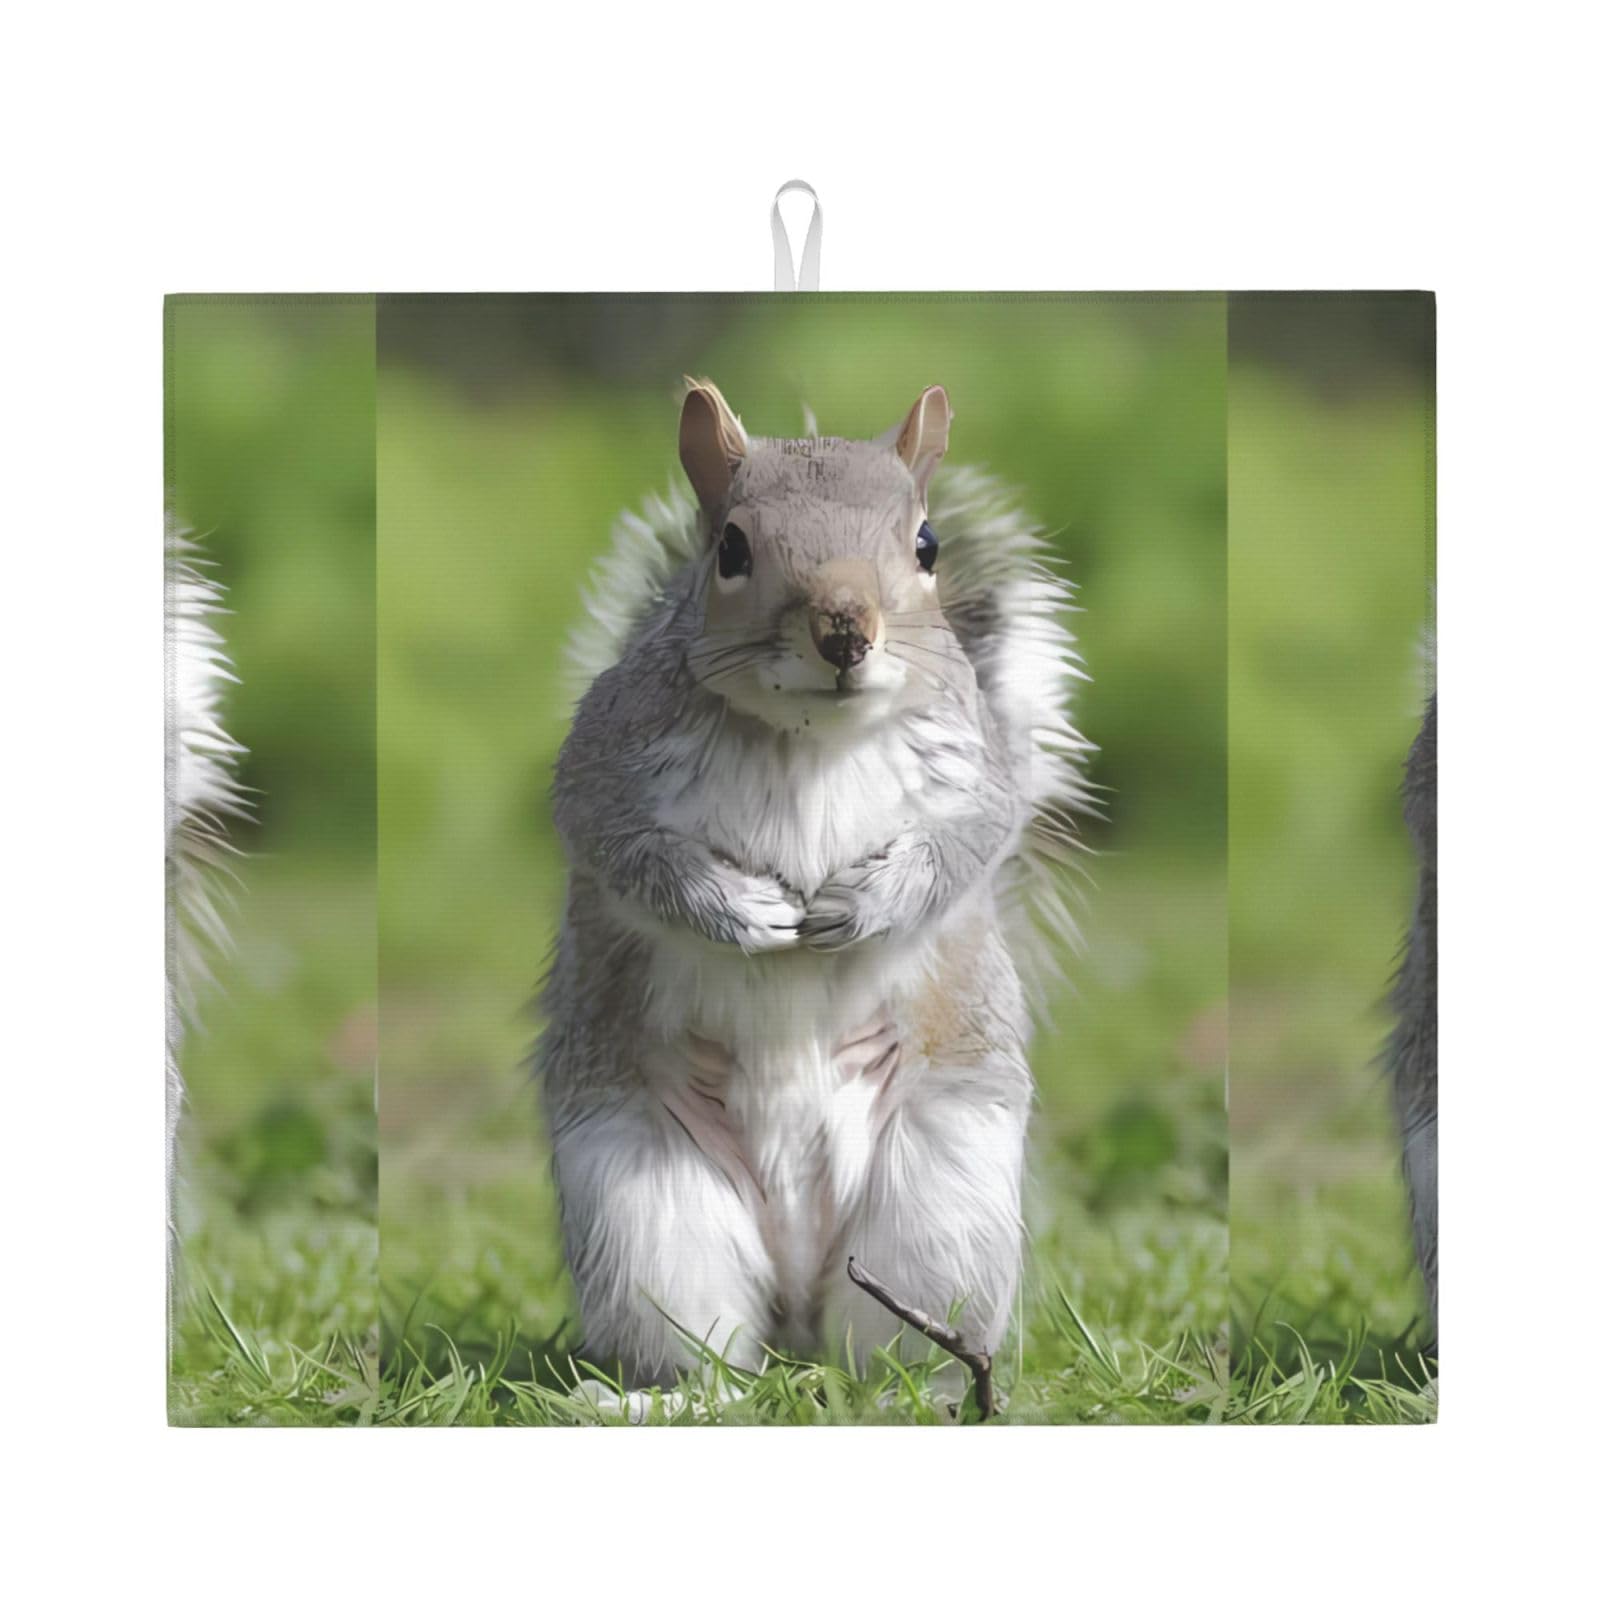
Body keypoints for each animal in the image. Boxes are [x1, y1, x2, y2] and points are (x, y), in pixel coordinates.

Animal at [538, 381, 1089, 1389]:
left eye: (927, 545)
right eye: (730, 548)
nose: (844, 630)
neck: (807, 737)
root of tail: (797, 1307)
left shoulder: (981, 774)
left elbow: (968, 846)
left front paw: (863, 904)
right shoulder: (601, 764)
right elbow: (622, 847)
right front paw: (740, 909)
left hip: (941, 1204)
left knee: (900, 1350)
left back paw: (924, 1394)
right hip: (642, 1206)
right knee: (705, 1355)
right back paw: (665, 1400)